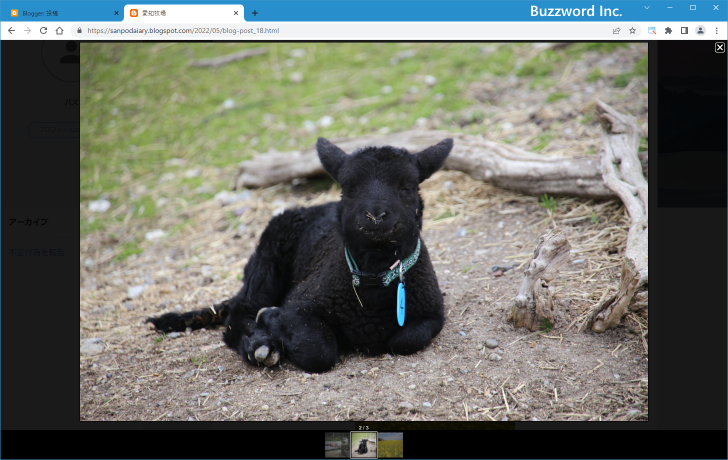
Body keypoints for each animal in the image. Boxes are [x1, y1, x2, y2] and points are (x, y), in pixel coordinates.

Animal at [146, 137, 456, 374]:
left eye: (406, 187)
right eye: (349, 189)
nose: (376, 216)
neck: (370, 286)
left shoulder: (431, 314)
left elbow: (406, 340)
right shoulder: (302, 304)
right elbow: (317, 352)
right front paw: (272, 318)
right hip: (267, 261)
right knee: (240, 312)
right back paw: (260, 345)